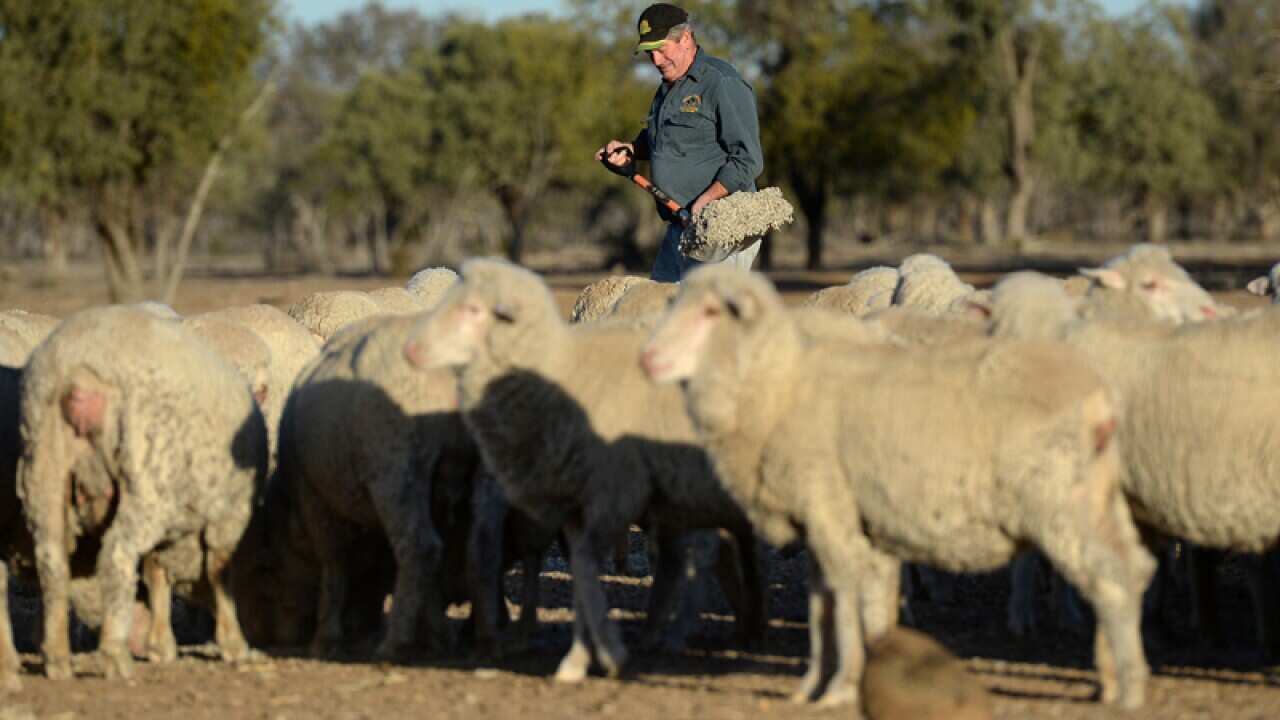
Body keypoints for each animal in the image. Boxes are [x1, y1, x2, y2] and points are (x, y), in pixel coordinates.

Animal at [17, 306, 267, 680]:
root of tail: (78, 372)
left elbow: (155, 571)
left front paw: (161, 645)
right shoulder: (229, 512)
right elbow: (218, 569)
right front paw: (233, 644)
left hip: (44, 460)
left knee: (51, 558)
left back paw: (57, 659)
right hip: (147, 471)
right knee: (116, 556)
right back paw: (115, 657)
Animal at [641, 266, 1154, 709]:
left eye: (711, 311)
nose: (648, 359)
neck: (780, 384)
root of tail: (1099, 397)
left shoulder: (828, 509)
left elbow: (843, 595)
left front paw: (841, 687)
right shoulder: (834, 520)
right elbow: (823, 603)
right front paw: (814, 685)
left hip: (1060, 502)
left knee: (1110, 577)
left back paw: (1127, 689)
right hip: (1095, 499)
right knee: (1131, 569)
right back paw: (1109, 678)